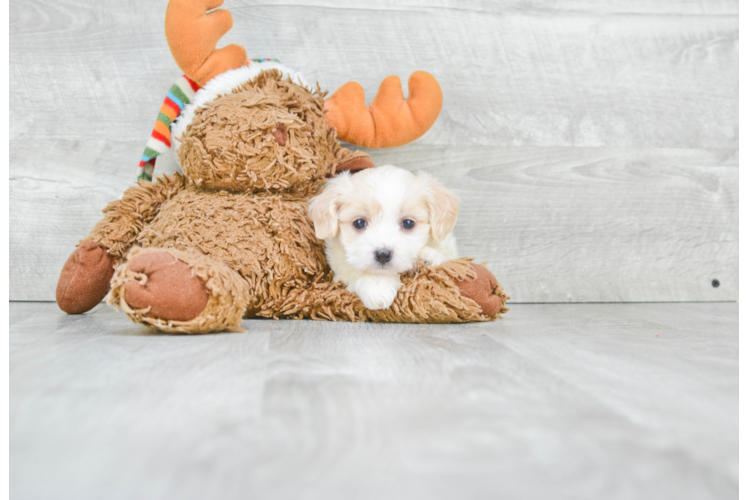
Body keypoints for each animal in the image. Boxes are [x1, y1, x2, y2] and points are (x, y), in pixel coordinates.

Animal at [306, 166, 458, 310]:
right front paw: (377, 285)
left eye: (408, 223)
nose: (383, 254)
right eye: (359, 223)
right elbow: (353, 269)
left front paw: (427, 258)